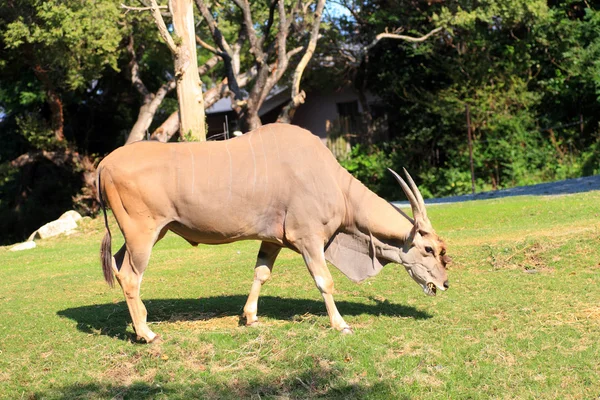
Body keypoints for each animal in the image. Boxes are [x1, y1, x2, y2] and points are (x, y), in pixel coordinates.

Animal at [96, 123, 448, 342]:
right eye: (429, 249)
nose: (444, 284)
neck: (331, 180)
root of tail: (103, 164)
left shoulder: (272, 240)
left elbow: (261, 273)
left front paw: (250, 317)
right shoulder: (309, 239)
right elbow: (325, 281)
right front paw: (341, 325)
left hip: (145, 236)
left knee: (118, 265)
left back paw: (140, 323)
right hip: (144, 234)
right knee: (130, 276)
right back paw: (147, 334)